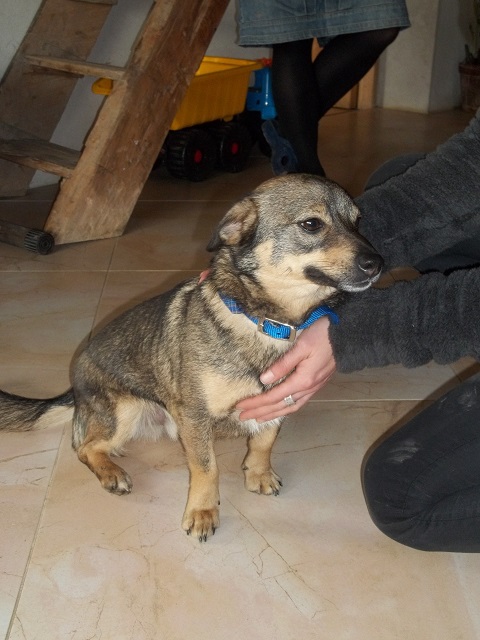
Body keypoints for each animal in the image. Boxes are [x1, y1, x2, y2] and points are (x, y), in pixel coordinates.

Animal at [0, 174, 383, 541]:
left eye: (358, 222)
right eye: (311, 224)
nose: (377, 263)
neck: (269, 323)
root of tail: (74, 388)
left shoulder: (279, 400)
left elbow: (264, 441)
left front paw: (258, 474)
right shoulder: (195, 415)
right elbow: (206, 467)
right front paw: (202, 512)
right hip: (126, 409)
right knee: (84, 447)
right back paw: (112, 472)